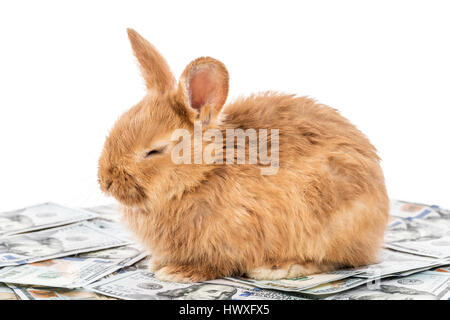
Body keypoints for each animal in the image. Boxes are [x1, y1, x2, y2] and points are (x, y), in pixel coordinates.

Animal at [98, 28, 390, 282]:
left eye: (154, 151)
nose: (105, 182)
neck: (203, 174)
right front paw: (158, 264)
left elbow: (216, 263)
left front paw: (178, 273)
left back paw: (278, 268)